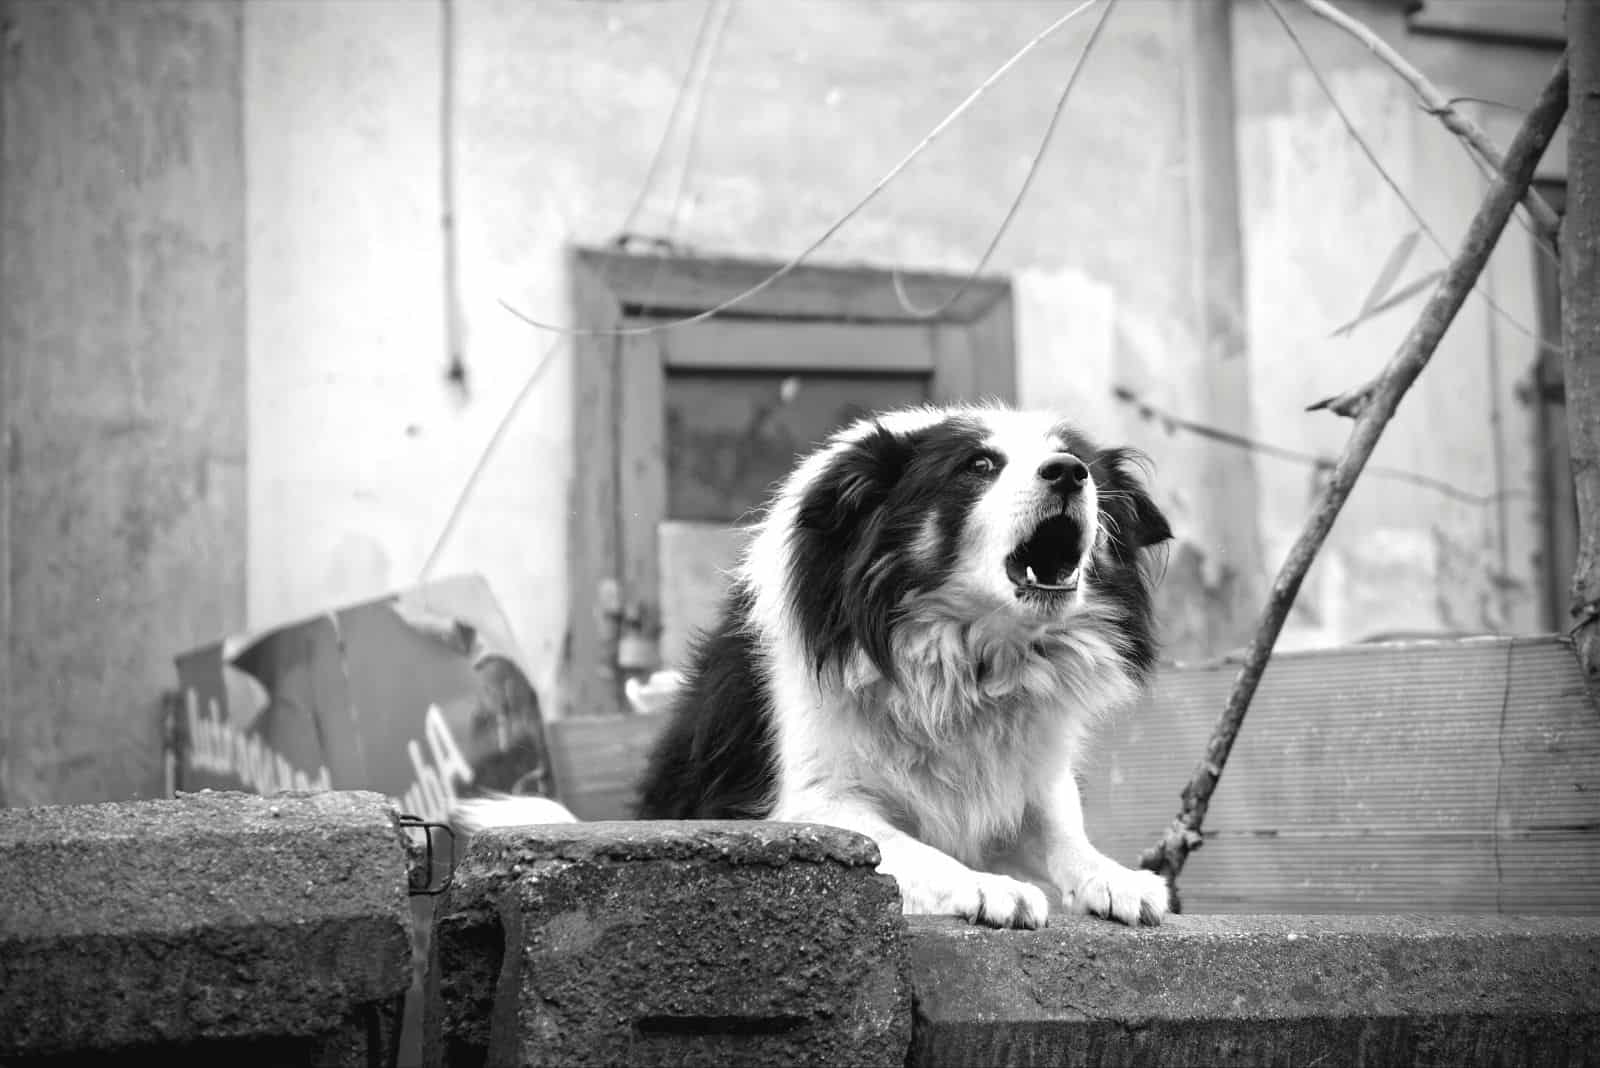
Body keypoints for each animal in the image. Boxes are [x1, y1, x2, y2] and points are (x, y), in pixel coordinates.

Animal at [457, 404, 1171, 927]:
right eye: (979, 465)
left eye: (1084, 466)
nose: (1069, 473)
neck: (970, 658)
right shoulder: (808, 799)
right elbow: (903, 846)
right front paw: (987, 887)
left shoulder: (1034, 768)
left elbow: (1062, 830)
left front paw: (1117, 878)